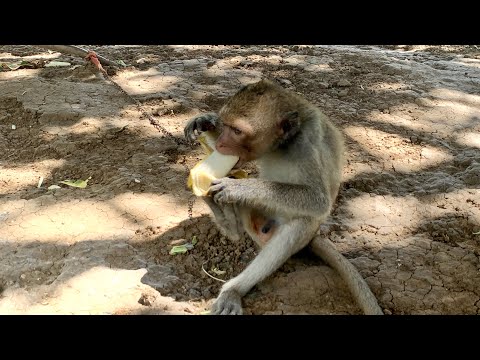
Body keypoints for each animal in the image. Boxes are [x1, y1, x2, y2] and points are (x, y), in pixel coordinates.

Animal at [184, 79, 382, 316]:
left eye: (237, 130)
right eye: (227, 125)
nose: (222, 142)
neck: (286, 142)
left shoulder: (307, 144)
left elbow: (318, 199)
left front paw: (238, 187)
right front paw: (206, 123)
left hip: (301, 232)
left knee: (301, 224)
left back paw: (233, 290)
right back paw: (225, 219)